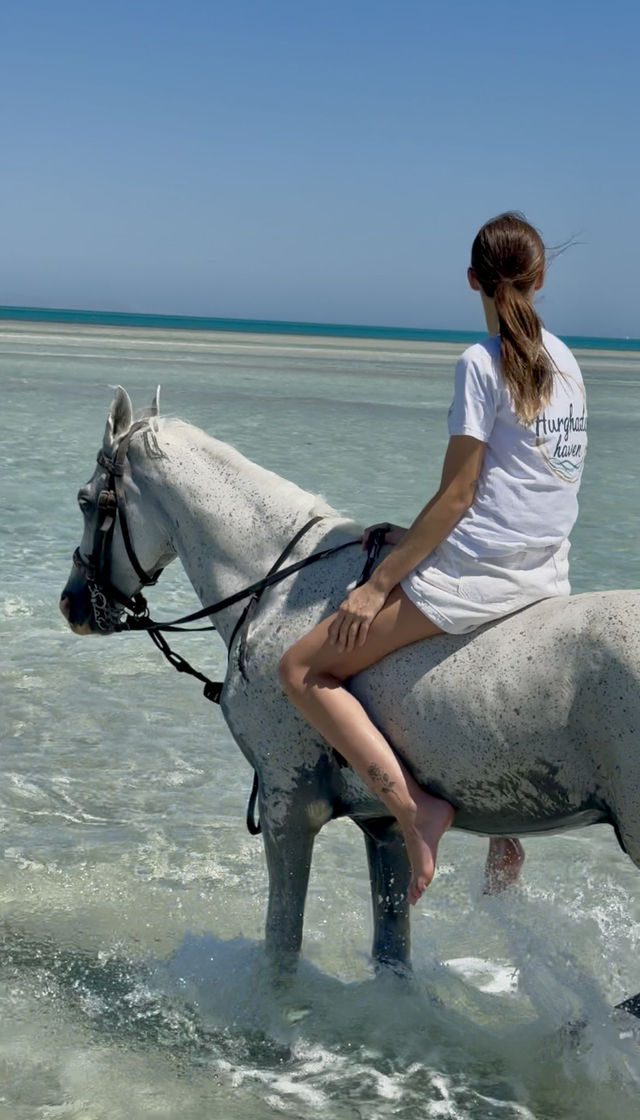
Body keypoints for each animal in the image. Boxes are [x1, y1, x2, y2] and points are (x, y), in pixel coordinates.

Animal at [60, 387, 640, 1015]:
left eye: (87, 502)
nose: (72, 604)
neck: (278, 590)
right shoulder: (384, 824)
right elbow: (391, 955)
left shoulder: (288, 806)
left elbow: (281, 946)